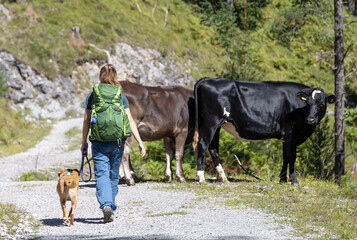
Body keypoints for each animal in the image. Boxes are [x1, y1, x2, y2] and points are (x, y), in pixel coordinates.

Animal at [192, 78, 334, 185]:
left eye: (321, 104)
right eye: (308, 103)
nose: (310, 119)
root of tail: (207, 79)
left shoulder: (285, 137)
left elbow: (285, 157)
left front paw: (282, 179)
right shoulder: (290, 133)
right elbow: (291, 157)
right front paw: (293, 181)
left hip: (217, 125)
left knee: (213, 149)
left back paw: (223, 178)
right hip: (211, 122)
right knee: (202, 145)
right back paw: (201, 178)